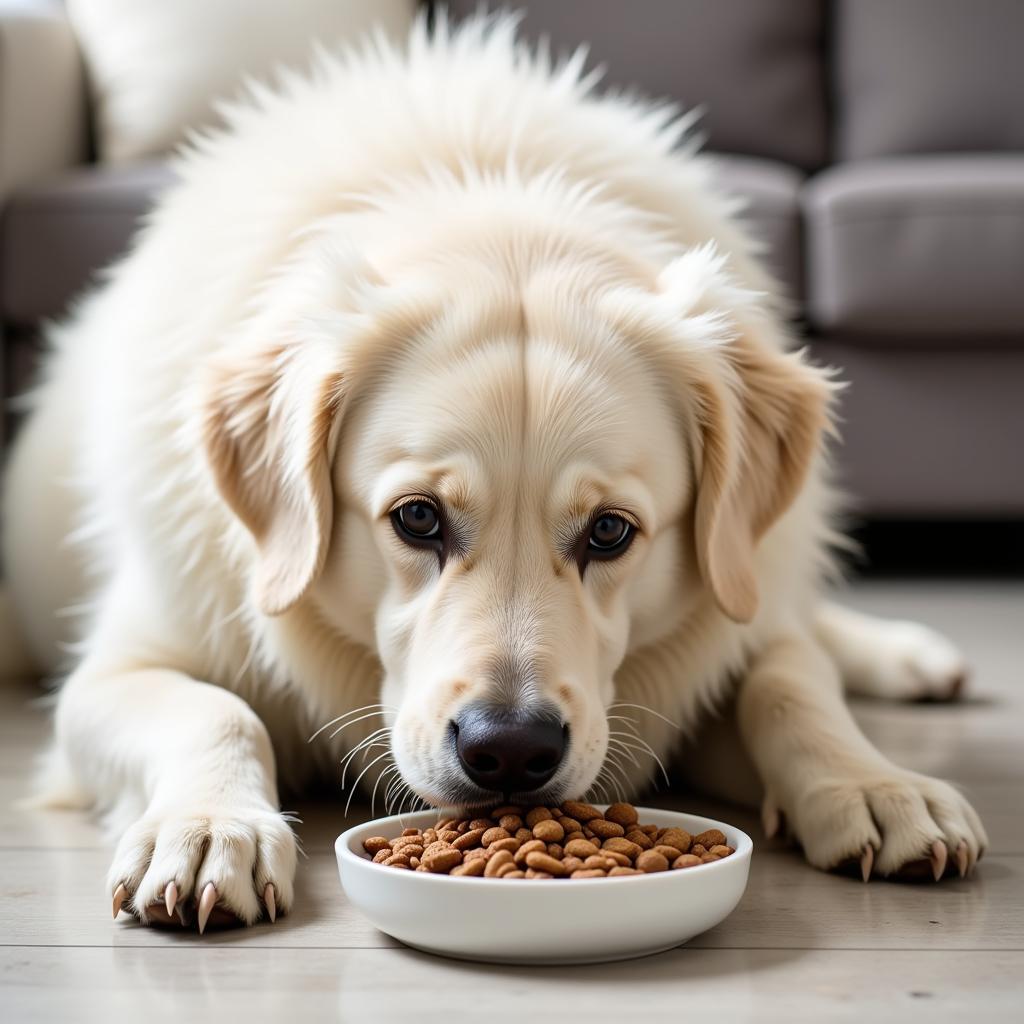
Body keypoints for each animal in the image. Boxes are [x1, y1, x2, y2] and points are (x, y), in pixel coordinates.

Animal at [0, 14, 983, 929]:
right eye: (417, 519)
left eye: (611, 531)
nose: (509, 751)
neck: (488, 193)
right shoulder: (121, 667)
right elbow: (215, 710)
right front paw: (209, 827)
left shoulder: (729, 636)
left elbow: (787, 686)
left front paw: (876, 784)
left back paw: (908, 656)